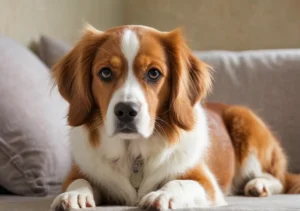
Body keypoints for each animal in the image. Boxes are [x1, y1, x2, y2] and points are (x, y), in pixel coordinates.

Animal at [50, 24, 298, 209]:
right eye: (105, 73)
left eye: (153, 73)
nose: (126, 111)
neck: (133, 152)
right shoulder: (80, 171)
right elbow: (78, 181)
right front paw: (75, 195)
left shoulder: (207, 184)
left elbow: (181, 183)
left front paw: (163, 195)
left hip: (244, 122)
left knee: (279, 179)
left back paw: (259, 184)